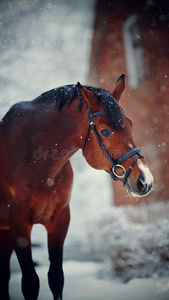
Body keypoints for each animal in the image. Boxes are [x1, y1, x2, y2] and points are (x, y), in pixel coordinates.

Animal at [0, 73, 153, 300]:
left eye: (131, 124)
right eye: (105, 131)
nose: (145, 180)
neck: (33, 160)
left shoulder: (60, 219)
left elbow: (56, 278)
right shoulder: (18, 223)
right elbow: (30, 283)